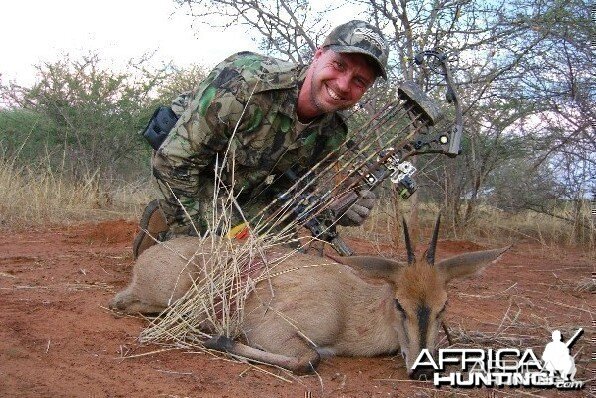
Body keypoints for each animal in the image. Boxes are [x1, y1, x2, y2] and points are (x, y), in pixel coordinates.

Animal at [112, 216, 508, 378]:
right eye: (399, 303)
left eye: (444, 306)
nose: (423, 370)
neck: (350, 307)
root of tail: (148, 255)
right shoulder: (273, 332)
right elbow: (310, 359)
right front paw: (220, 340)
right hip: (165, 298)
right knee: (126, 306)